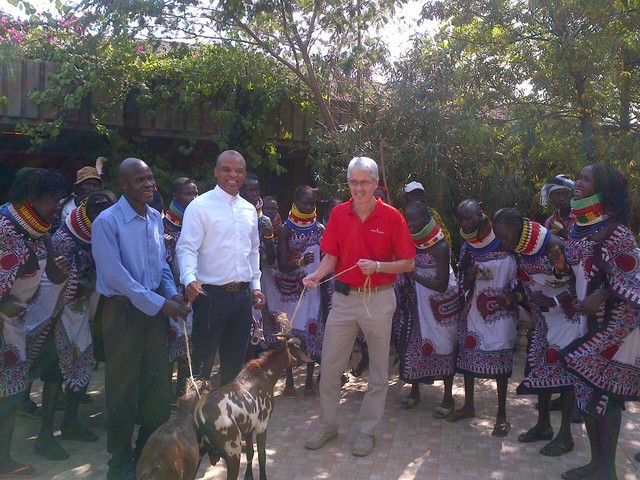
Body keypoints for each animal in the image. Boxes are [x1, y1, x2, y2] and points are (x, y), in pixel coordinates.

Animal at [196, 332, 314, 480]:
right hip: (232, 453)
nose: (311, 355)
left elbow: (251, 452)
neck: (263, 374)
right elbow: (262, 456)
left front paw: (248, 476)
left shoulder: (249, 428)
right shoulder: (262, 425)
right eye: (302, 346)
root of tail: (202, 416)